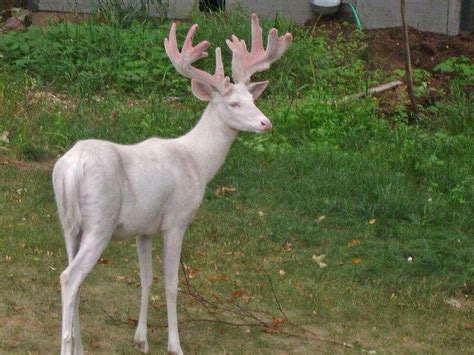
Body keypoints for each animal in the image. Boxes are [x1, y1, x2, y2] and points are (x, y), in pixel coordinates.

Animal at [51, 14, 288, 355]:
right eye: (233, 103)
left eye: (252, 98)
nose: (265, 123)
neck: (197, 162)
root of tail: (71, 168)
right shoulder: (176, 220)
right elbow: (172, 283)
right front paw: (175, 344)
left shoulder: (144, 228)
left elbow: (146, 277)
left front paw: (141, 339)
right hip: (100, 222)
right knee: (69, 278)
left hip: (69, 223)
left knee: (76, 279)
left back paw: (80, 347)